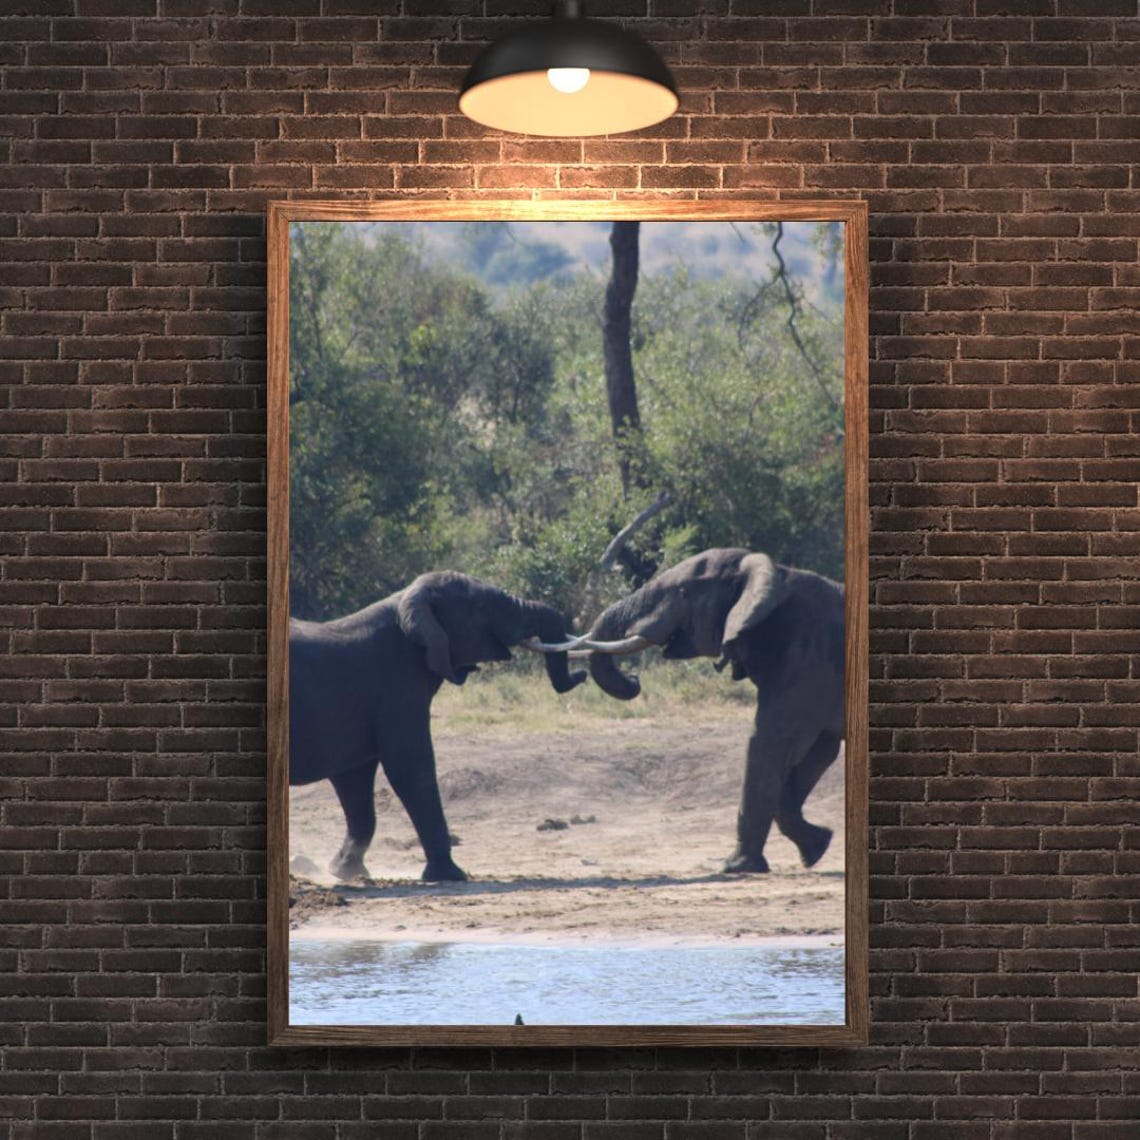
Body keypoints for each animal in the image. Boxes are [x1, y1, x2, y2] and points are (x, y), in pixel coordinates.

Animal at [289, 571, 587, 883]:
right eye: (482, 606)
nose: (583, 673)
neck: (405, 604)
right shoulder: (397, 686)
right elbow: (410, 766)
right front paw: (451, 875)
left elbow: (354, 779)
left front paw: (346, 872)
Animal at [583, 548, 845, 874]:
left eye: (683, 592)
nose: (634, 680)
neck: (773, 572)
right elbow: (818, 753)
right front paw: (817, 847)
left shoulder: (805, 658)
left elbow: (768, 744)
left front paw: (736, 867)